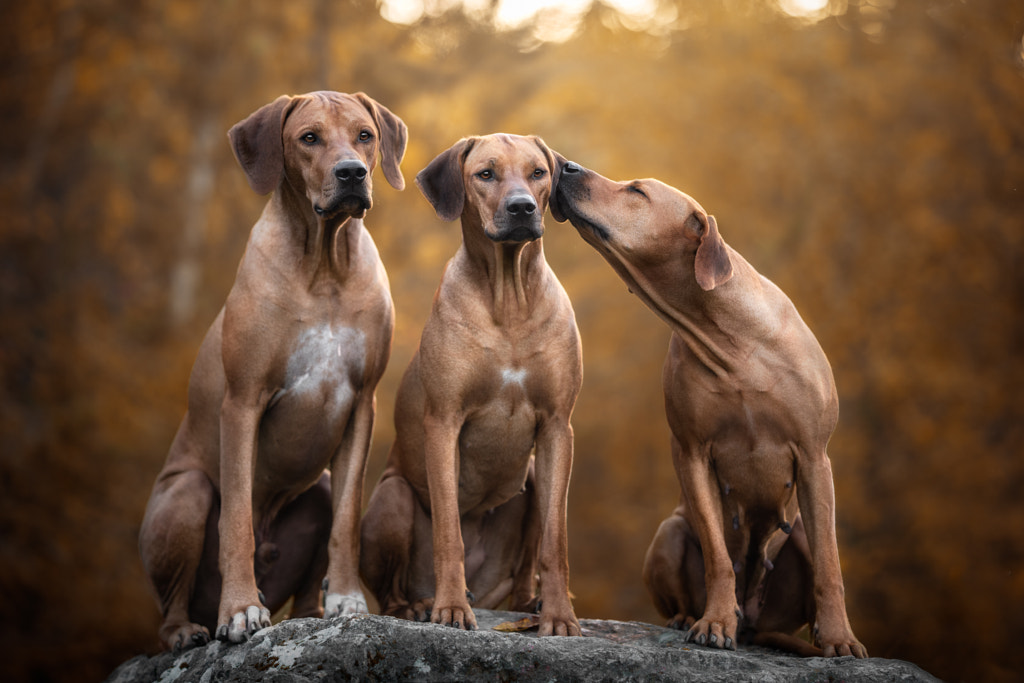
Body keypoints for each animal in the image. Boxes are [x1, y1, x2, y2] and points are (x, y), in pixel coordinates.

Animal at [137, 90, 407, 651]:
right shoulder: (243, 403)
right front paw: (241, 609)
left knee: (307, 583)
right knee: (171, 605)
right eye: (309, 138)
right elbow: (237, 517)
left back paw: (314, 611)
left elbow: (347, 518)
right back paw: (187, 629)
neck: (324, 263)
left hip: (317, 485)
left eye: (365, 135)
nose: (352, 173)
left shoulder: (363, 405)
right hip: (186, 492)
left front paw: (347, 597)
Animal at [360, 133, 585, 634]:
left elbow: (557, 542)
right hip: (391, 495)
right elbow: (449, 531)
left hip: (531, 478)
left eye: (538, 173)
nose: (522, 208)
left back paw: (528, 603)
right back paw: (420, 604)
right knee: (389, 592)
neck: (509, 299)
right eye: (486, 174)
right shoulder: (443, 423)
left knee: (526, 565)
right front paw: (450, 609)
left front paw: (560, 615)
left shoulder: (557, 426)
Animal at [557, 160, 868, 655]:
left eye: (636, 191)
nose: (564, 164)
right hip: (668, 532)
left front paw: (839, 637)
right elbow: (719, 556)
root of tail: (756, 626)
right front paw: (715, 621)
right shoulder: (693, 454)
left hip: (795, 534)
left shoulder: (815, 456)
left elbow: (830, 566)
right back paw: (690, 617)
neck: (730, 341)